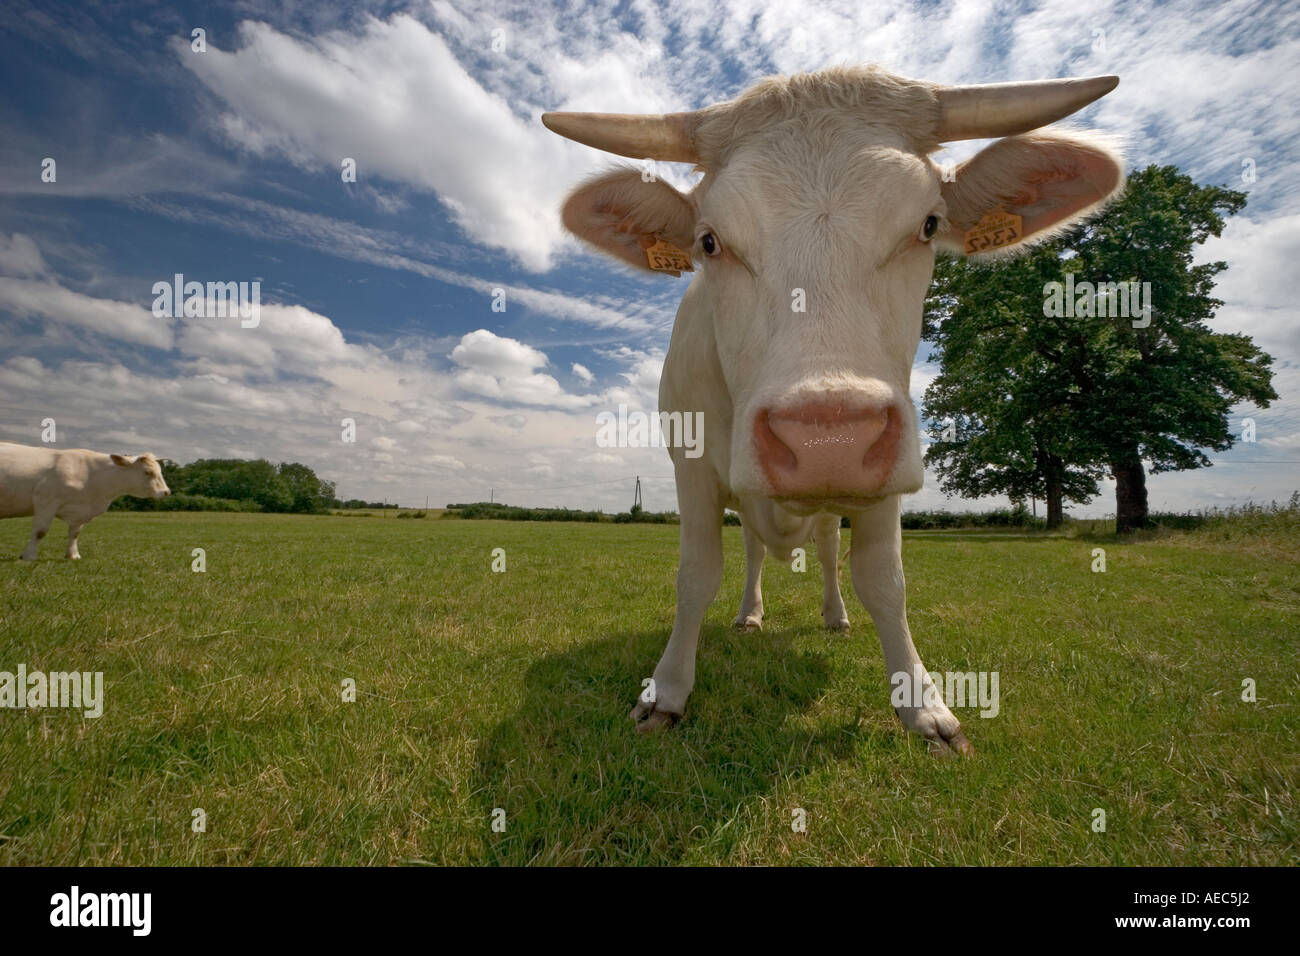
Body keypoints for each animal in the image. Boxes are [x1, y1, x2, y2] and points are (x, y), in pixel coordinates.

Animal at [0, 442, 170, 561]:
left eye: (160, 471)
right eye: (148, 472)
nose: (166, 492)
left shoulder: (79, 511)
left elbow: (75, 533)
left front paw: (73, 555)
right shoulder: (46, 501)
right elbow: (40, 531)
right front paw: (29, 556)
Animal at [543, 67, 1123, 754]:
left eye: (929, 225)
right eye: (709, 241)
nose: (829, 439)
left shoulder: (888, 476)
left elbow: (884, 580)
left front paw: (924, 705)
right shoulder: (691, 466)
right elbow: (697, 574)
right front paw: (667, 691)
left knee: (823, 551)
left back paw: (834, 616)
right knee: (754, 552)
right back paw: (750, 614)